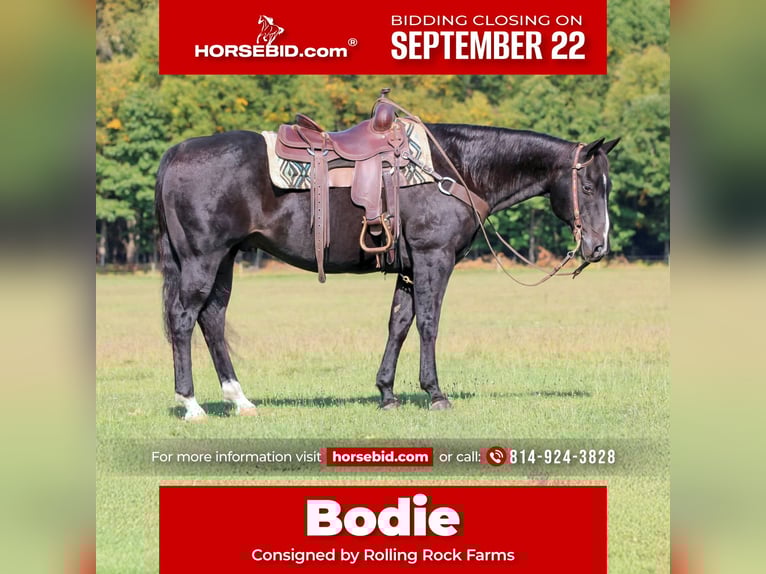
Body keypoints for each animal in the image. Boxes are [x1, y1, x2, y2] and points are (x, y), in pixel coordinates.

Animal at [155, 121, 619, 420]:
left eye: (607, 186)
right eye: (588, 186)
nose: (598, 246)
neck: (453, 169)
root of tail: (177, 152)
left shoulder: (409, 268)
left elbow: (398, 323)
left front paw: (387, 393)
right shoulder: (434, 258)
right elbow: (428, 323)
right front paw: (434, 392)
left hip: (225, 260)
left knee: (213, 320)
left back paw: (240, 400)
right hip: (202, 259)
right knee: (184, 320)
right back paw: (191, 404)